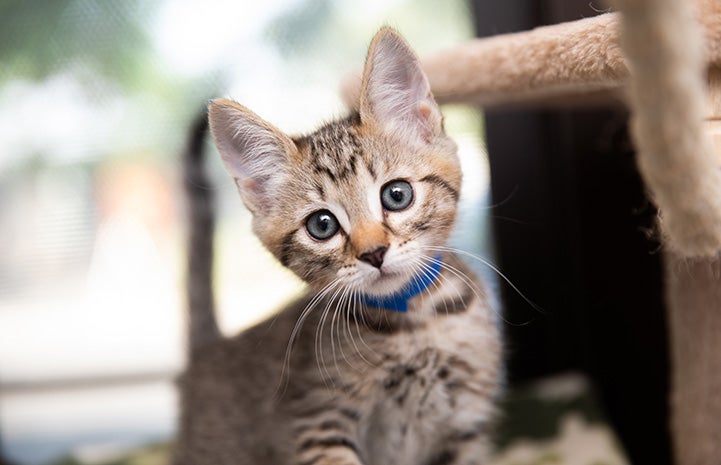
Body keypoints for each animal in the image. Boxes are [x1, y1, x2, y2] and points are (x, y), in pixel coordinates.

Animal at [174, 28, 500, 464]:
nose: (374, 253)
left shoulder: (466, 423)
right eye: (322, 225)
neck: (413, 324)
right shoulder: (315, 421)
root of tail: (210, 348)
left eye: (397, 195)